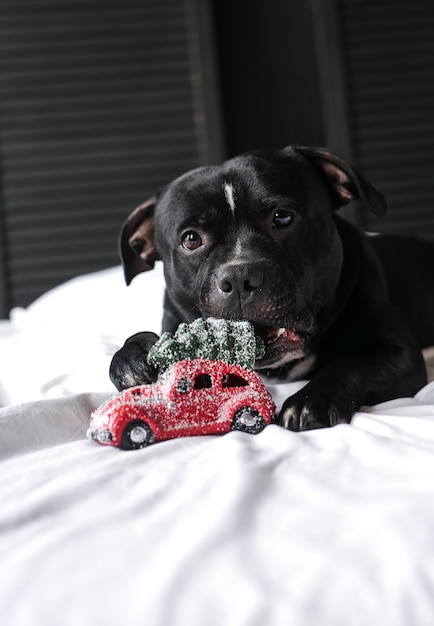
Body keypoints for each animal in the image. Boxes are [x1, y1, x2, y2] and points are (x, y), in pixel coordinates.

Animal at [109, 146, 434, 428]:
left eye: (282, 216)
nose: (238, 277)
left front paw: (312, 399)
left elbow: (349, 362)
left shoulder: (400, 354)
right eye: (191, 239)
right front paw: (132, 358)